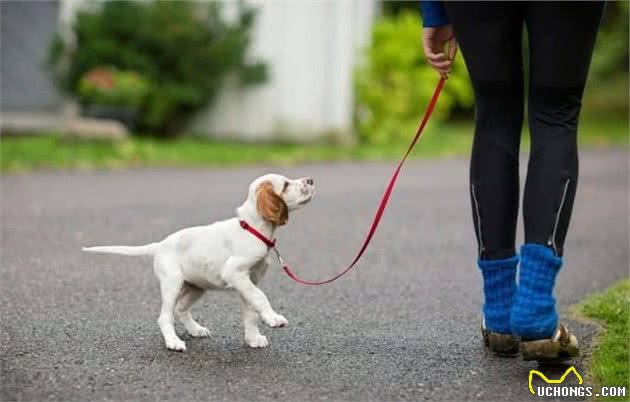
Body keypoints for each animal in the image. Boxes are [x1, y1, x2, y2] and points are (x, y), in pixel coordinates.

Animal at [84, 174, 316, 350]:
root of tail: (160, 245)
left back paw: (195, 330)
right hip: (172, 283)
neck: (252, 228)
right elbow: (260, 297)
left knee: (181, 309)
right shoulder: (235, 273)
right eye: (285, 185)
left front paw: (252, 338)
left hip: (197, 286)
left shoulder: (249, 281)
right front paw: (274, 318)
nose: (311, 180)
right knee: (165, 316)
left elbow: (251, 311)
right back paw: (173, 342)